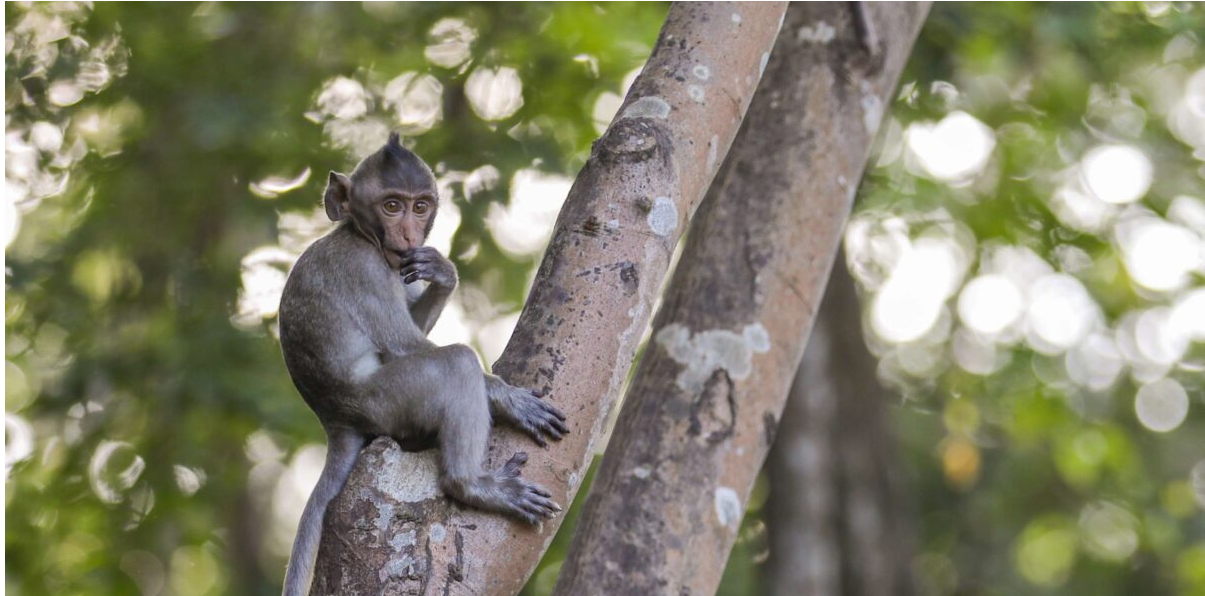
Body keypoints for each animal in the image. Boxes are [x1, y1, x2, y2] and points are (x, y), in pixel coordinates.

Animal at [276, 133, 569, 596]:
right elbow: (404, 344)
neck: (358, 235)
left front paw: (444, 272)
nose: (409, 233)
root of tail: (334, 420)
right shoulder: (364, 268)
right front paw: (509, 397)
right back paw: (472, 485)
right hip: (387, 400)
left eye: (420, 206)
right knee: (456, 363)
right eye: (391, 205)